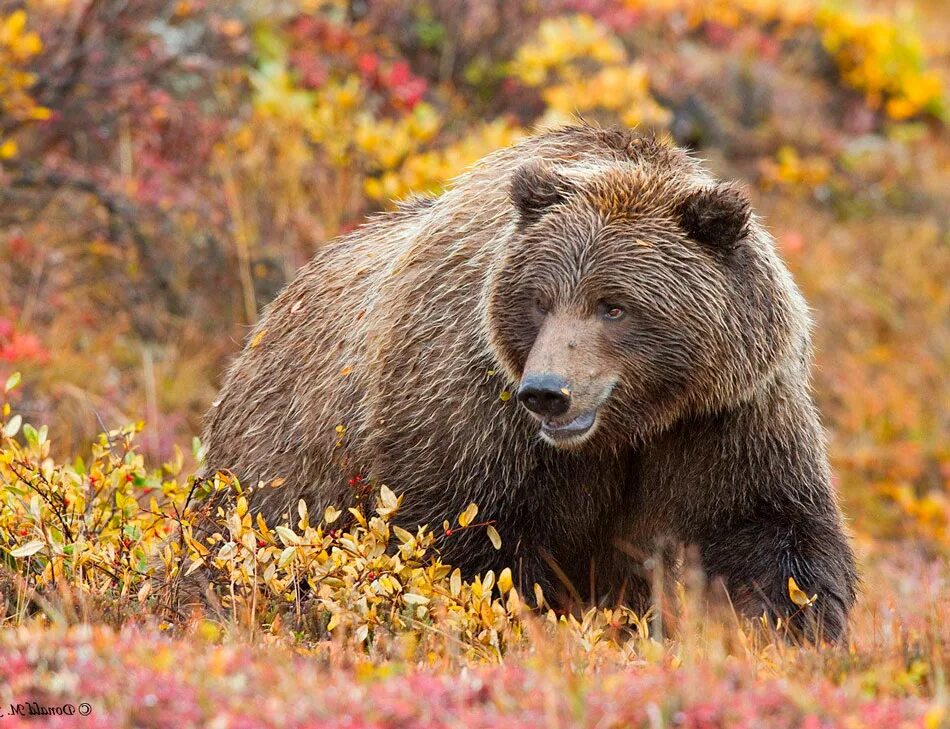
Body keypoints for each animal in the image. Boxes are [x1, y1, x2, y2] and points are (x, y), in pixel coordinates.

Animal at [205, 123, 860, 636]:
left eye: (613, 305)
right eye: (540, 300)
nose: (548, 392)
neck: (627, 429)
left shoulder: (727, 419)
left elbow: (771, 536)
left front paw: (797, 633)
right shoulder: (475, 419)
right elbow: (474, 553)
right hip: (272, 483)